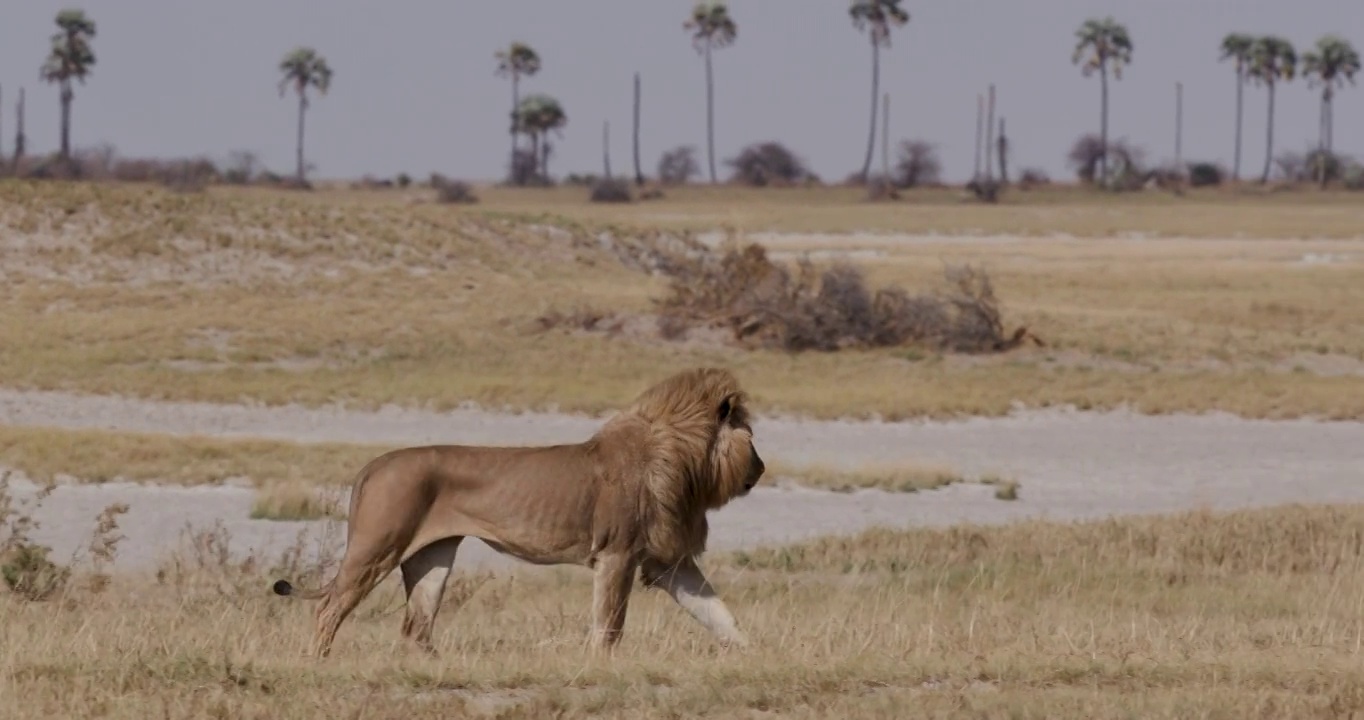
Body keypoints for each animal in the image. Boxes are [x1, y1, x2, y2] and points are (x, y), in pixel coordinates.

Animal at [274, 368, 769, 654]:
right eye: (751, 440)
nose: (762, 469)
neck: (686, 461)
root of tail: (374, 464)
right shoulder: (618, 553)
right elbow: (610, 624)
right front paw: (602, 666)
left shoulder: (668, 562)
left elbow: (720, 614)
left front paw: (753, 657)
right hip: (377, 546)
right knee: (329, 610)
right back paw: (318, 662)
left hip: (432, 557)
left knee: (417, 625)